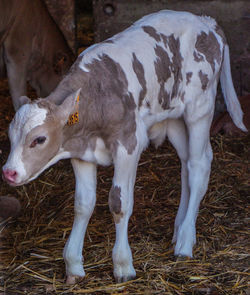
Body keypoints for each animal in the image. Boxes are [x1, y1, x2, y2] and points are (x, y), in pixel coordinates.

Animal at [1, 10, 246, 286]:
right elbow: (83, 204)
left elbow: (119, 203)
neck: (98, 95)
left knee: (198, 166)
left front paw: (123, 265)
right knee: (185, 164)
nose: (9, 172)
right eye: (10, 136)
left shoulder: (128, 145)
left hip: (200, 108)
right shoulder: (82, 152)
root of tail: (206, 21)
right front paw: (73, 265)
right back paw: (179, 229)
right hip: (171, 117)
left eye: (39, 139)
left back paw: (184, 242)